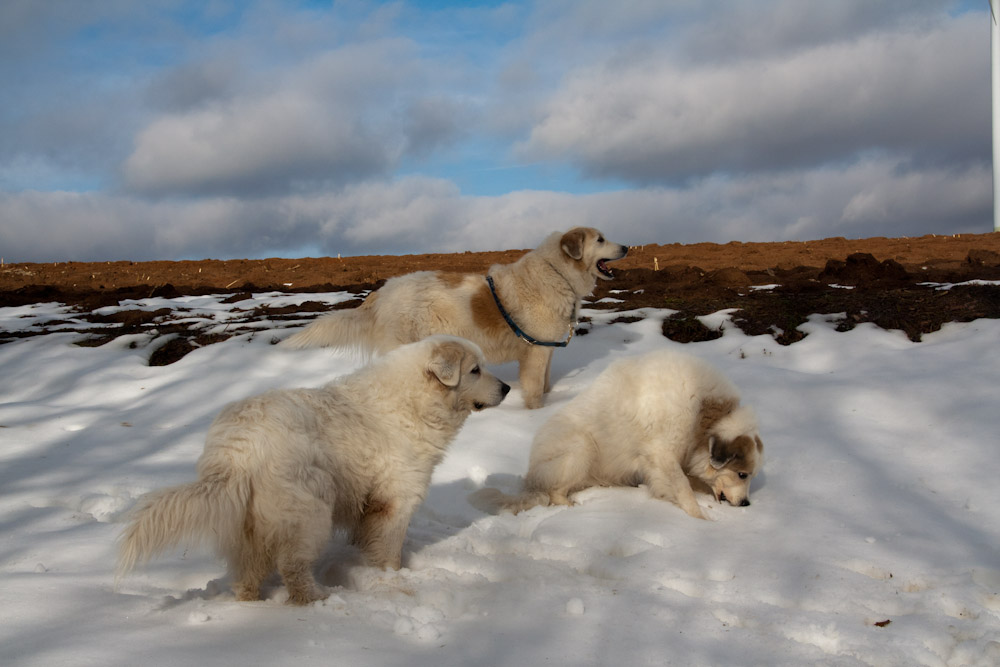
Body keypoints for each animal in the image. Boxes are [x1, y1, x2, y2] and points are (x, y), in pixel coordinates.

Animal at [282, 228, 624, 408]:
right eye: (600, 239)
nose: (626, 246)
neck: (557, 273)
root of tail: (382, 293)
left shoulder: (546, 349)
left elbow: (547, 383)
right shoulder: (535, 352)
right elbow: (535, 389)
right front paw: (534, 415)